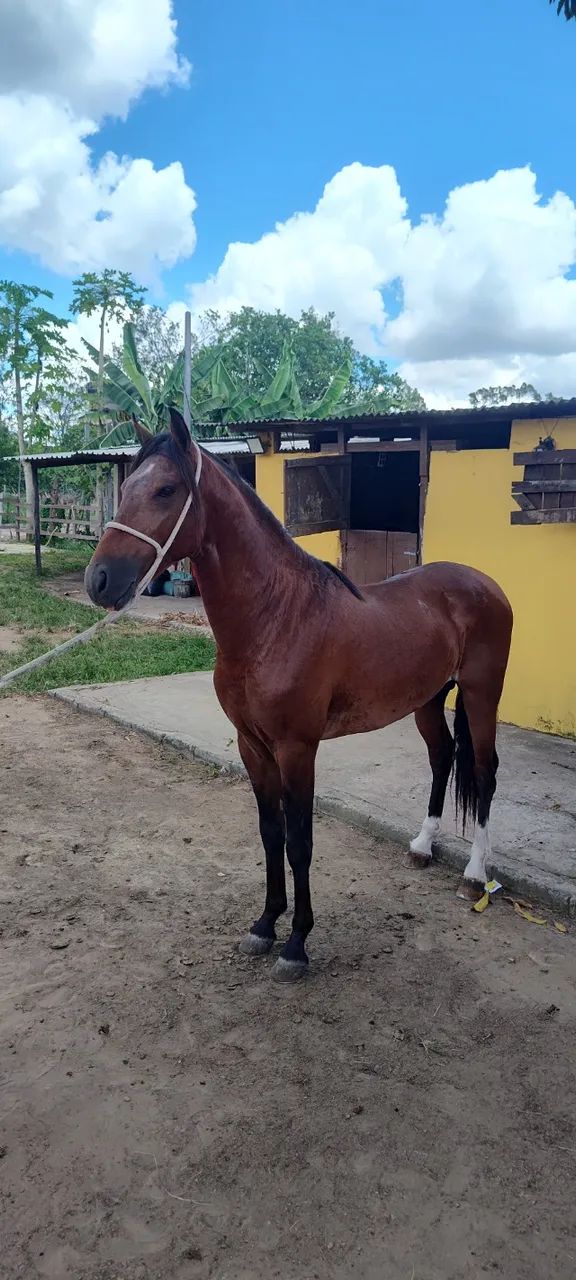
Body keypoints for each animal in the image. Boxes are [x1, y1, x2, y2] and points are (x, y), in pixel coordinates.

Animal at [85, 409, 513, 983]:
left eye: (165, 490)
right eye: (128, 485)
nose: (100, 581)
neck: (275, 619)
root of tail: (484, 583)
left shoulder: (296, 749)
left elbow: (300, 842)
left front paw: (297, 944)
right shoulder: (253, 746)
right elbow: (270, 834)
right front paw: (265, 925)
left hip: (481, 693)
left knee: (485, 772)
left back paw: (473, 872)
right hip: (427, 699)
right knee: (443, 756)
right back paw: (422, 846)